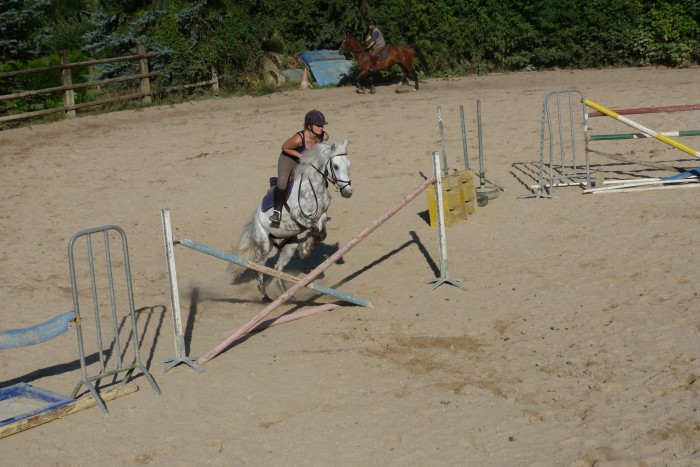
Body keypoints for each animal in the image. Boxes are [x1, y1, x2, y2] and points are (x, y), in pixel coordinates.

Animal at [230, 138, 350, 300]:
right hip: (264, 246)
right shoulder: (298, 215)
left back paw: (285, 293)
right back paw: (265, 297)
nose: (348, 192)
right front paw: (306, 249)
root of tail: (255, 218)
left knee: (278, 268)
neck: (314, 187)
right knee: (259, 269)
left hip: (289, 246)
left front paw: (306, 248)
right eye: (336, 166)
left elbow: (322, 233)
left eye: (349, 164)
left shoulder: (321, 215)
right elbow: (315, 231)